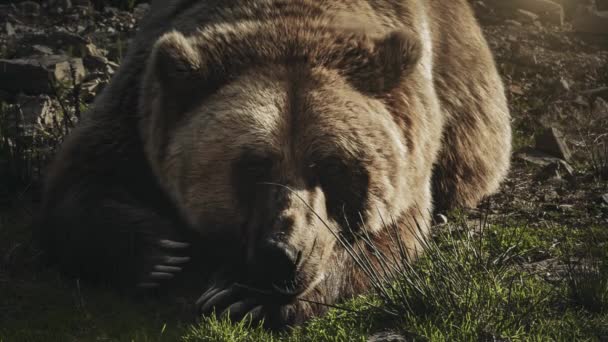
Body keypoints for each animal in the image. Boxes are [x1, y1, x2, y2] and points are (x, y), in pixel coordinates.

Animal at [36, 0, 508, 328]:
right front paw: (161, 253)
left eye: (332, 167)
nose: (282, 254)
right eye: (252, 166)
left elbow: (386, 239)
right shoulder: (140, 100)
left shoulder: (410, 155)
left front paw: (243, 295)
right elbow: (84, 177)